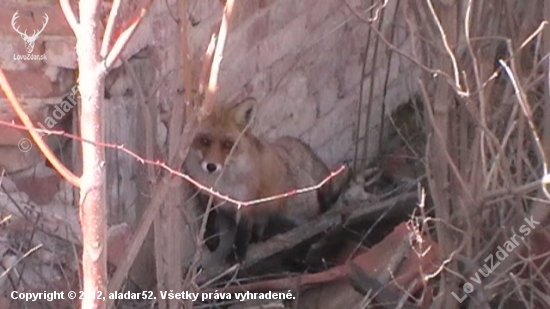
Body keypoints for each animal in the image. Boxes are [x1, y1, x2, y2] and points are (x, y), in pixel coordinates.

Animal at [185, 97, 336, 262]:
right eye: (204, 141)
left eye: (228, 145)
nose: (211, 166)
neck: (221, 184)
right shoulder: (204, 193)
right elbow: (209, 218)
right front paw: (212, 240)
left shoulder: (245, 201)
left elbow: (242, 231)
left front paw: (237, 256)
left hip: (300, 211)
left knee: (315, 223)